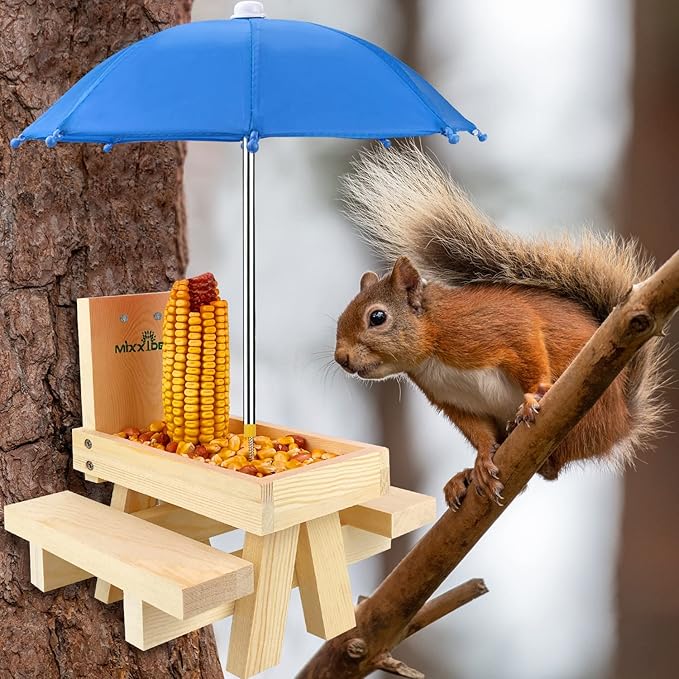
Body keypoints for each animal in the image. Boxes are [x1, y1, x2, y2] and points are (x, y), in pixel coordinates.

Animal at [334, 141, 667, 509]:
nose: (341, 358)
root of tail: (623, 421)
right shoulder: (455, 401)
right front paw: (480, 461)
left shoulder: (500, 326)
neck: (433, 348)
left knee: (556, 464)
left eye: (377, 317)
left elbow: (529, 345)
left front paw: (534, 397)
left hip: (585, 413)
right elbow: (478, 433)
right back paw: (464, 478)